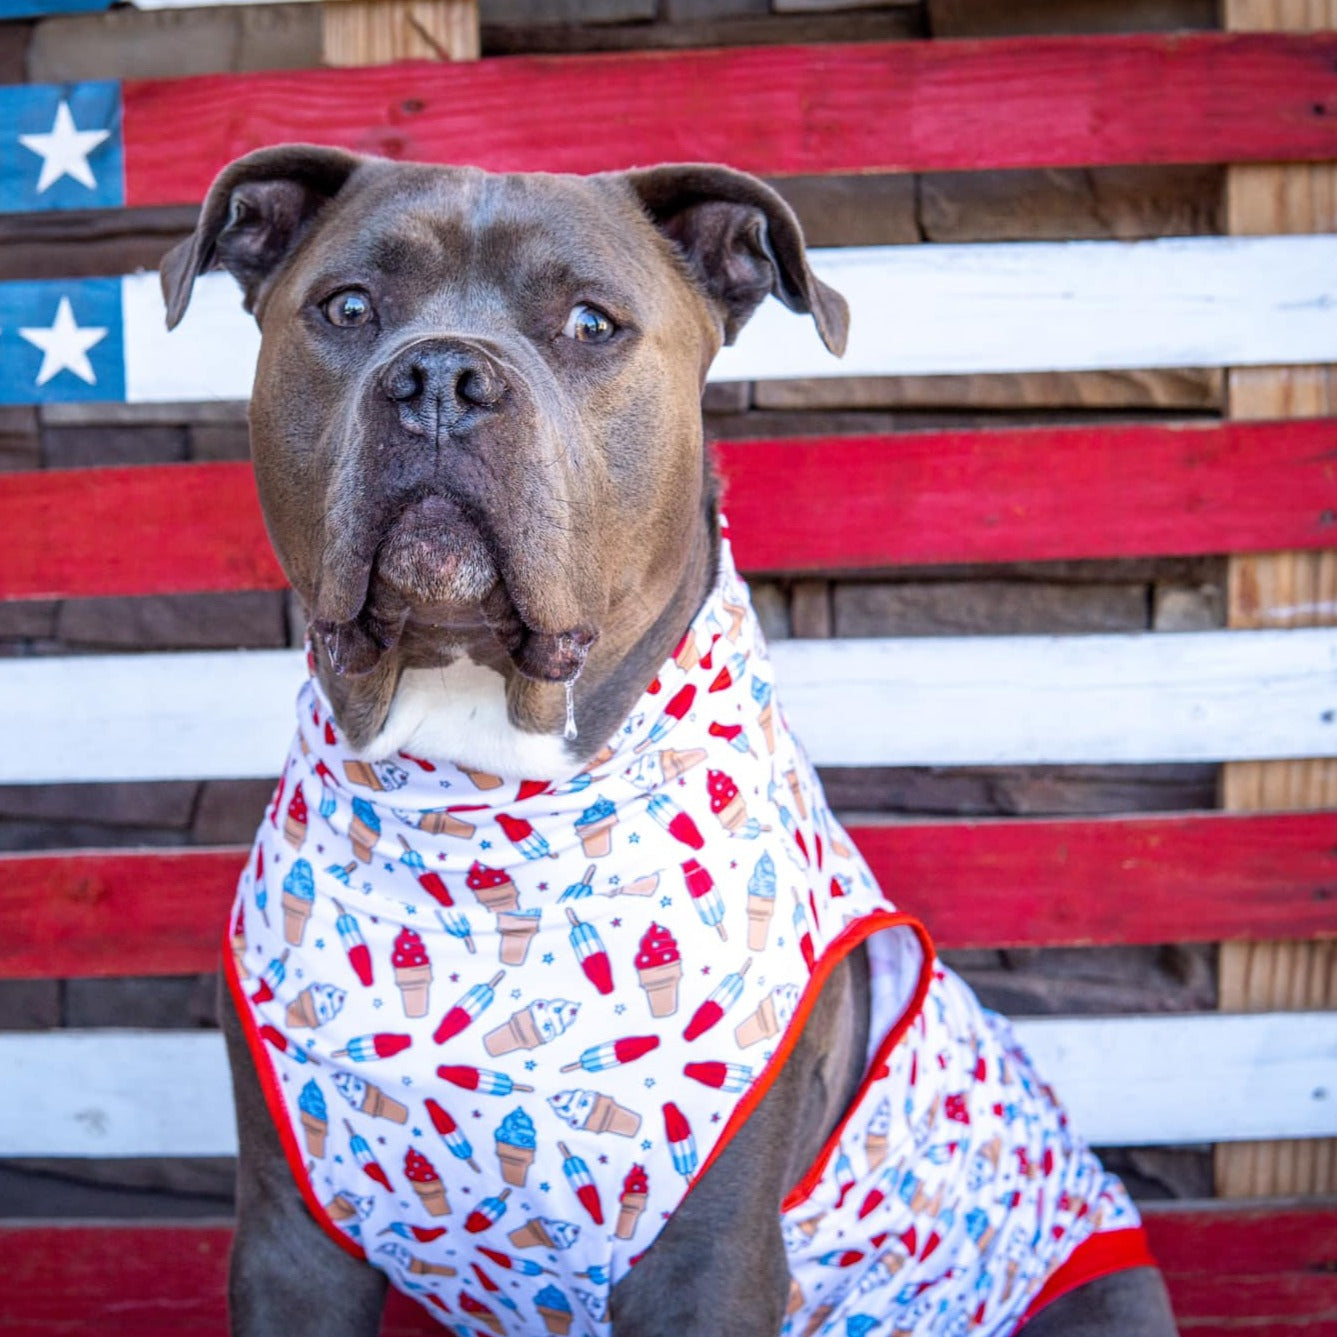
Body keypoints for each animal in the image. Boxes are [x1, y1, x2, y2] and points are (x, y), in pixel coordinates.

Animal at [161, 151, 1176, 1337]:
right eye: (349, 308)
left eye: (591, 323)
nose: (441, 378)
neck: (478, 809)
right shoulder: (292, 1237)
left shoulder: (707, 1259)